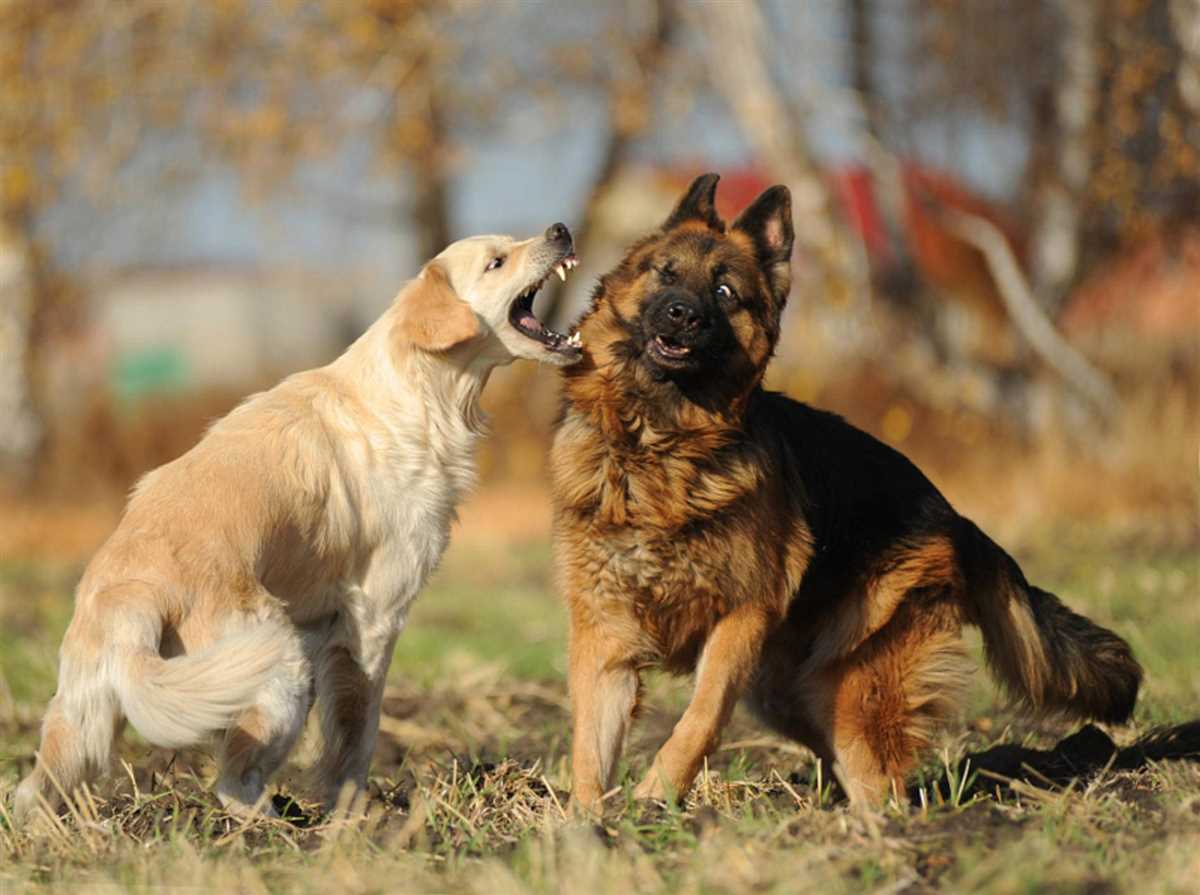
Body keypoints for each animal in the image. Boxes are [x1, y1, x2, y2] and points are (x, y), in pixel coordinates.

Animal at [11, 223, 583, 815]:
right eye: (497, 261)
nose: (560, 230)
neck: (416, 391)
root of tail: (131, 592)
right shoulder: (376, 617)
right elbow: (358, 732)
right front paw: (352, 813)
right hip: (277, 668)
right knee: (233, 780)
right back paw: (278, 823)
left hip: (86, 721)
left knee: (33, 790)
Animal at [549, 173, 1137, 811]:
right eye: (665, 273)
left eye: (726, 293)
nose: (682, 315)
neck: (657, 447)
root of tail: (955, 517)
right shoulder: (605, 637)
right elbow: (589, 746)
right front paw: (587, 823)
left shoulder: (740, 619)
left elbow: (700, 718)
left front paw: (656, 794)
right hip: (790, 692)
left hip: (852, 691)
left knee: (883, 782)